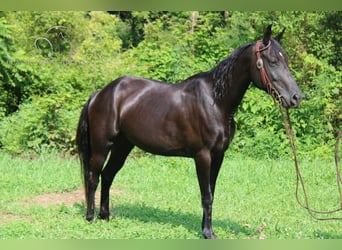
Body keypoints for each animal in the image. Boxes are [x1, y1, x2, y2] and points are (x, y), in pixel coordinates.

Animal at [77, 25, 302, 238]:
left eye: (286, 59)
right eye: (272, 61)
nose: (296, 97)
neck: (215, 102)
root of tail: (101, 93)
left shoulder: (218, 156)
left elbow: (211, 192)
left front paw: (205, 229)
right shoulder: (202, 156)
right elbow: (206, 195)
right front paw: (209, 233)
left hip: (123, 146)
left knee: (107, 175)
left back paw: (105, 216)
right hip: (101, 146)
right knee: (93, 177)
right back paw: (90, 217)